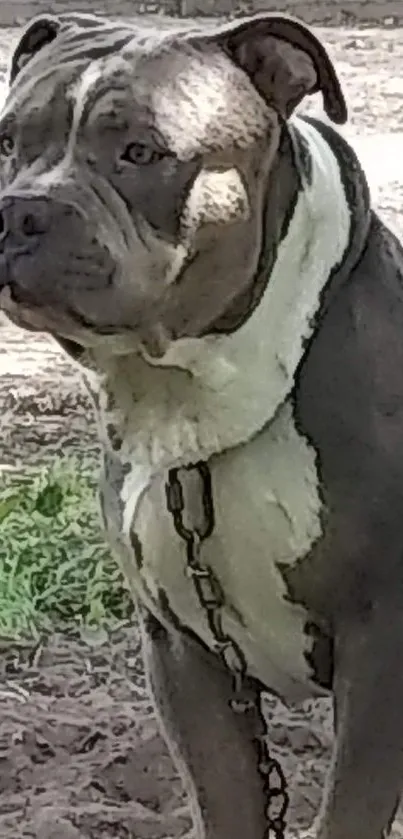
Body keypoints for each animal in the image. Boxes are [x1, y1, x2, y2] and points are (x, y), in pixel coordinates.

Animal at [0, 11, 403, 839]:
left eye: (141, 152)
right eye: (9, 140)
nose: (21, 209)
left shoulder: (382, 646)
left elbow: (347, 810)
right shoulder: (186, 657)